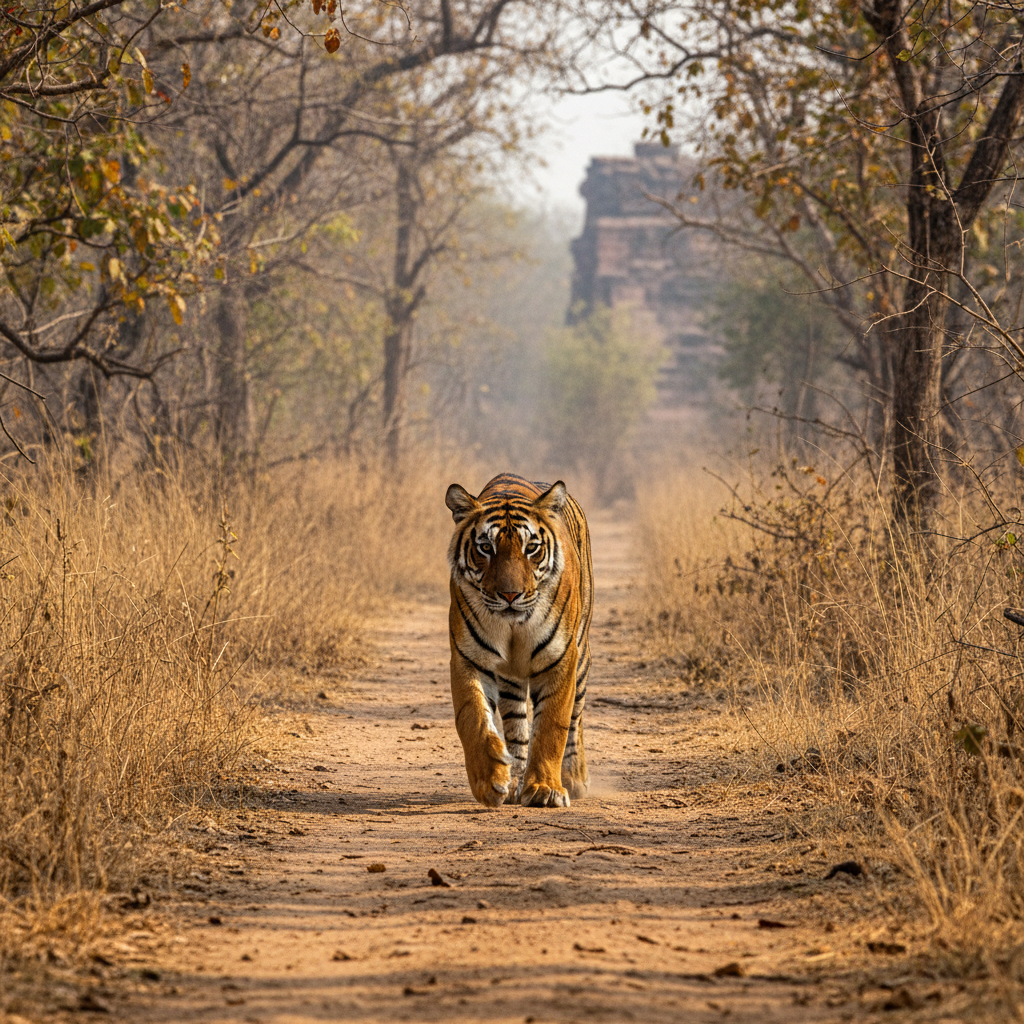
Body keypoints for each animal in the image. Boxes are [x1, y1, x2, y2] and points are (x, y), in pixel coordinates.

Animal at [444, 472, 593, 808]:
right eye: (485, 547)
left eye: (532, 547)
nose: (510, 595)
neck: (513, 626)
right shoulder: (468, 658)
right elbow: (473, 718)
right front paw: (490, 781)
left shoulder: (560, 659)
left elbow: (553, 725)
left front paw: (545, 789)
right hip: (510, 678)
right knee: (517, 727)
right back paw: (515, 781)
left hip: (581, 659)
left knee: (575, 720)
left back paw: (573, 779)